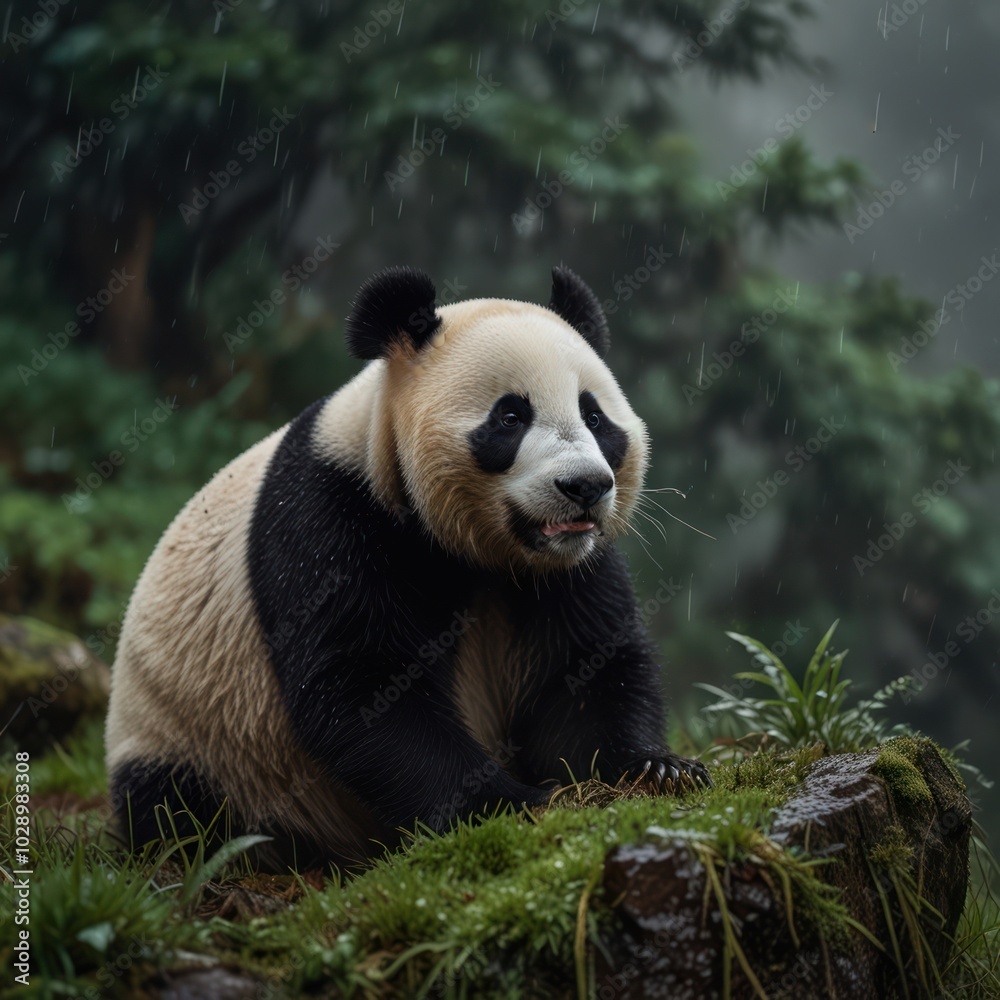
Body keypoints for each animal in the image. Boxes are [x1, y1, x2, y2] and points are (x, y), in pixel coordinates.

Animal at [104, 265, 711, 870]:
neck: (478, 553)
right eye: (511, 417)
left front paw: (657, 768)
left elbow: (584, 665)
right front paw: (508, 803)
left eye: (595, 416)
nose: (585, 486)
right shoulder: (331, 513)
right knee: (180, 811)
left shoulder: (571, 567)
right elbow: (365, 684)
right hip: (191, 734)